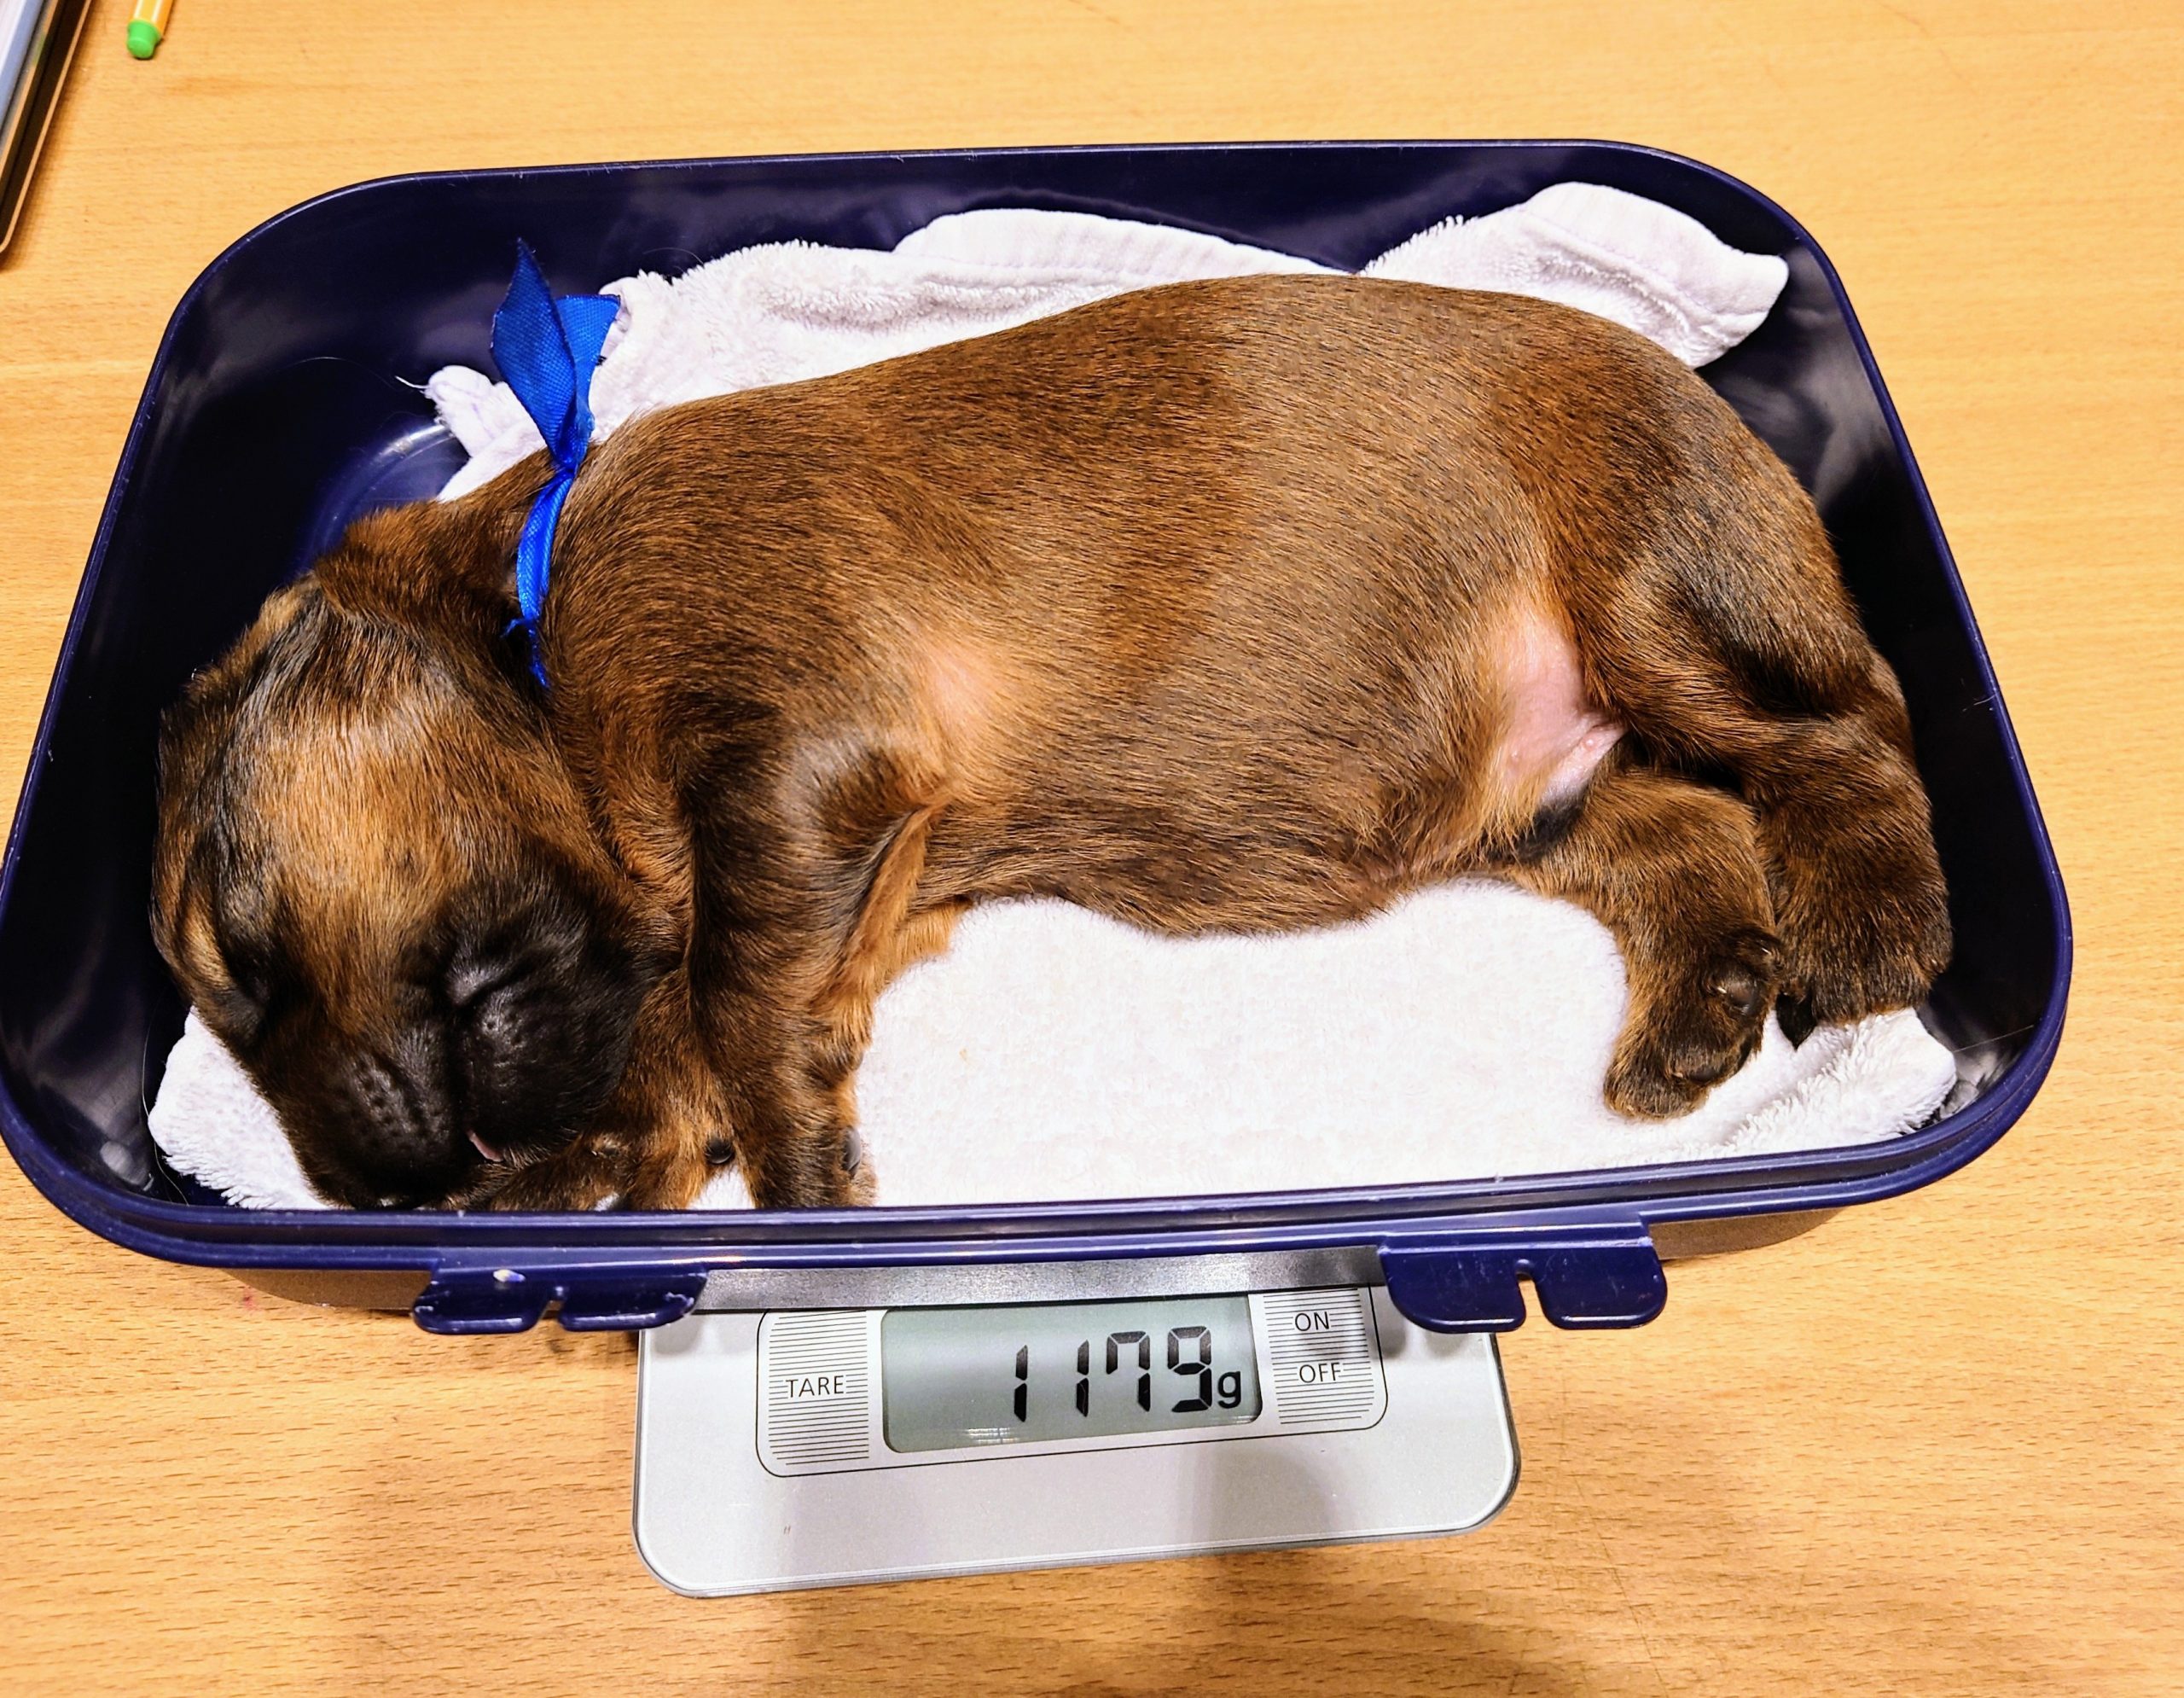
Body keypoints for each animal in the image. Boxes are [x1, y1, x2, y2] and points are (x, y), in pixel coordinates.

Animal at [150, 274, 1951, 1211]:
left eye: (234, 955)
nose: (373, 1207)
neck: (528, 622)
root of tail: (1733, 419)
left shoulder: (793, 749)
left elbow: (730, 989)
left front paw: (795, 1181)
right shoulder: (870, 880)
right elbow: (696, 1008)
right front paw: (603, 1167)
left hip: (1649, 585)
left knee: (1850, 736)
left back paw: (1864, 933)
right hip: (1544, 793)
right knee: (1695, 830)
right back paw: (1699, 1021)